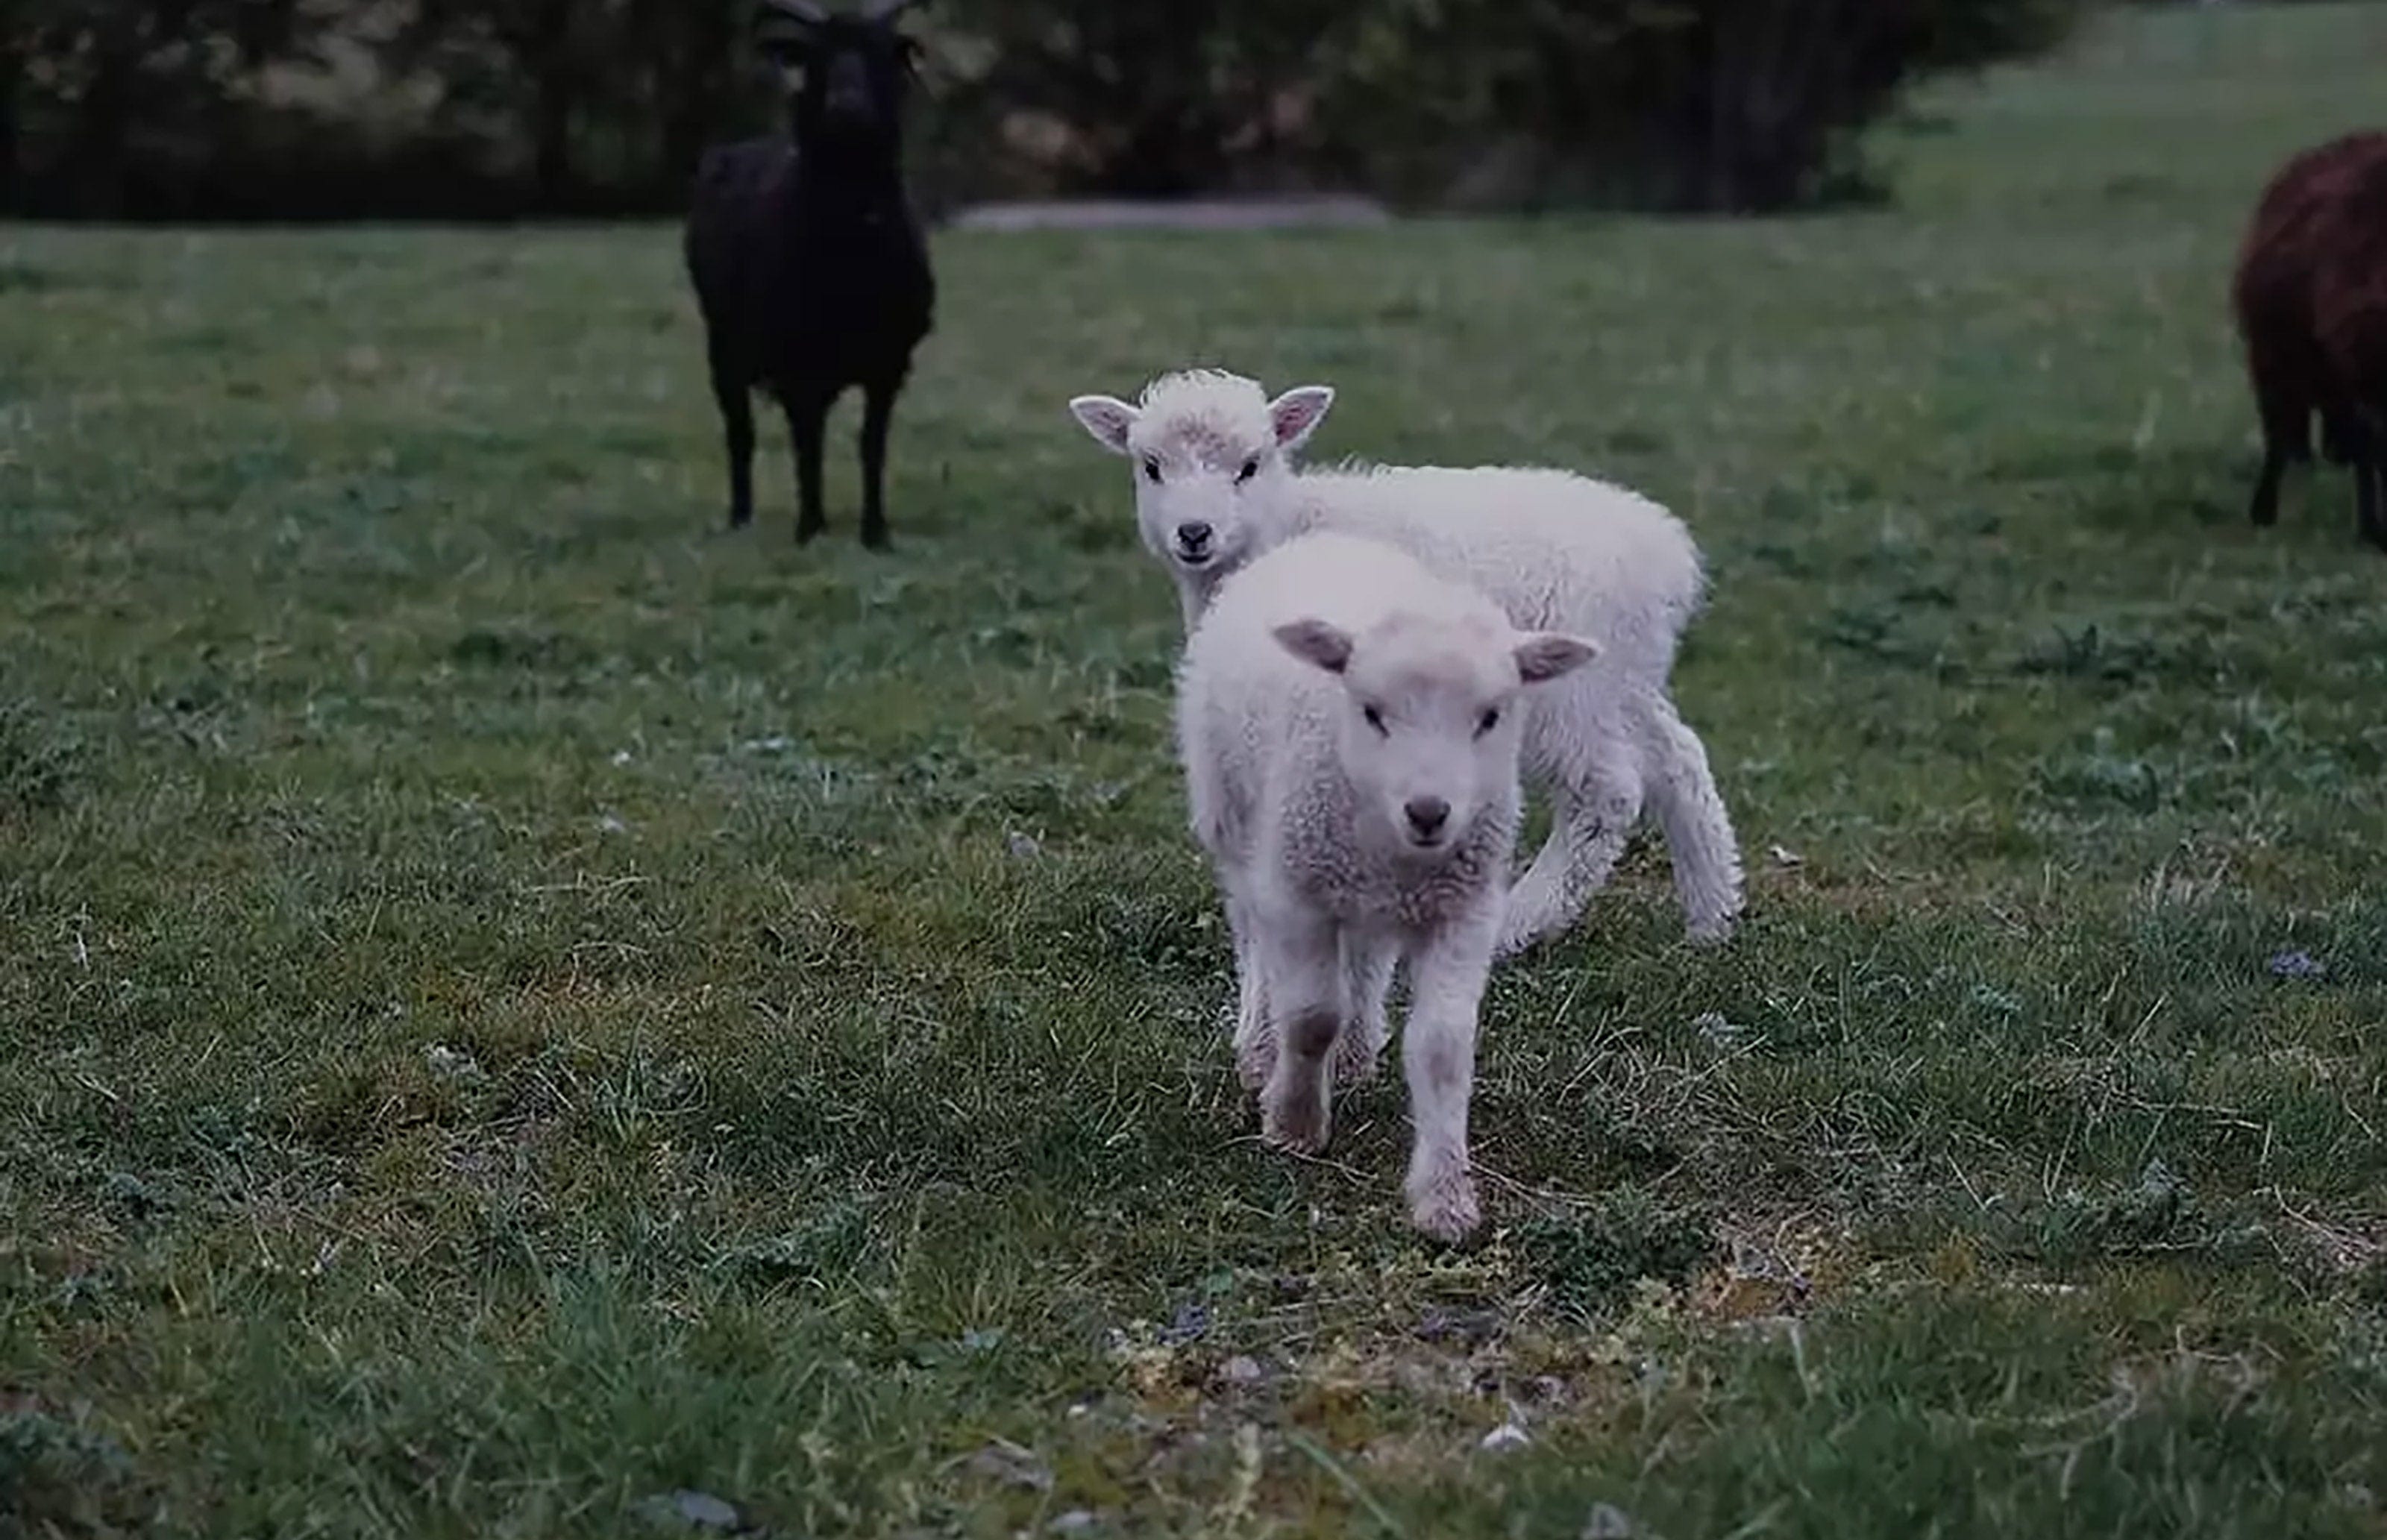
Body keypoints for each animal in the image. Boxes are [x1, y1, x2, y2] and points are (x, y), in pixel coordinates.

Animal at [684, 0, 935, 549]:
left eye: (880, 53)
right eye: (816, 58)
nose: (848, 106)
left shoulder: (887, 365)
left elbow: (870, 445)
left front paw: (874, 533)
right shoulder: (800, 366)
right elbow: (807, 446)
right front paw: (809, 528)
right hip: (723, 349)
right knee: (741, 434)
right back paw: (740, 518)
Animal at [1070, 368, 1744, 960]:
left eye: (1250, 465)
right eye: (1151, 466)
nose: (1194, 532)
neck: (1287, 525)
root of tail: (1666, 559)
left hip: (1572, 688)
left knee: (1606, 792)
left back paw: (1519, 922)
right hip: (1624, 676)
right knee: (1678, 759)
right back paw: (1713, 916)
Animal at [1177, 530, 1598, 1240]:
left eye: (1491, 716)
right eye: (1371, 712)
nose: (1429, 812)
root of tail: (1327, 538)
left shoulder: (1465, 910)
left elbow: (1443, 1047)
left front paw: (1445, 1196)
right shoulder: (1298, 892)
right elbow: (1310, 1016)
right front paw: (1293, 1121)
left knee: (1367, 960)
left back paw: (1352, 1054)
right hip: (1235, 823)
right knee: (1254, 938)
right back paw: (1259, 1050)